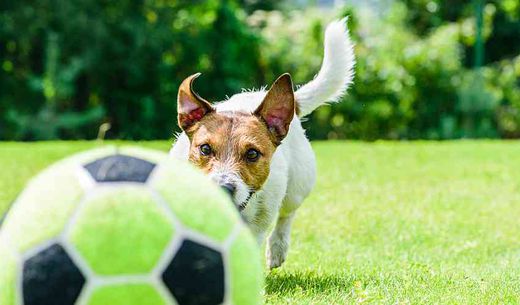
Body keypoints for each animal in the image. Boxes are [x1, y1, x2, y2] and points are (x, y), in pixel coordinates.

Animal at [170, 19, 354, 268]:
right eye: (205, 149)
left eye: (252, 154)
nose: (223, 188)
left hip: (297, 187)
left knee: (287, 215)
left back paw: (277, 248)